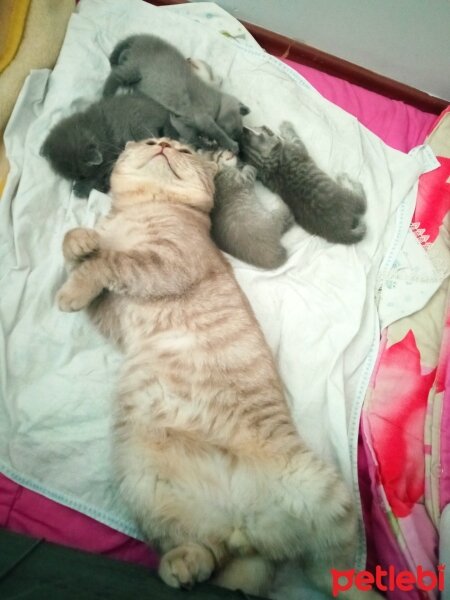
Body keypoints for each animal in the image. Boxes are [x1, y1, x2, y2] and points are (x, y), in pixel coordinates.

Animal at [40, 94, 171, 197]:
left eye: (82, 176)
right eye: (77, 177)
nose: (104, 189)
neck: (89, 128)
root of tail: (163, 112)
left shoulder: (107, 156)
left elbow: (96, 175)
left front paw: (82, 188)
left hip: (140, 128)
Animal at [55, 136, 380, 600]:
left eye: (182, 150)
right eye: (151, 142)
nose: (163, 142)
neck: (142, 211)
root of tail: (244, 525)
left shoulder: (165, 263)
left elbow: (111, 263)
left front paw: (74, 285)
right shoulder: (111, 312)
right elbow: (79, 250)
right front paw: (81, 244)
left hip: (326, 496)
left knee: (332, 574)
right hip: (147, 487)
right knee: (212, 555)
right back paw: (182, 565)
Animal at [102, 34, 250, 154]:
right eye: (239, 127)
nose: (240, 137)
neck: (218, 100)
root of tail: (141, 37)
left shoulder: (181, 121)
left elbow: (190, 134)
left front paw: (206, 144)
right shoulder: (203, 117)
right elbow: (216, 131)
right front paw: (230, 144)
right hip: (135, 69)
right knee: (115, 75)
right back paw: (107, 94)